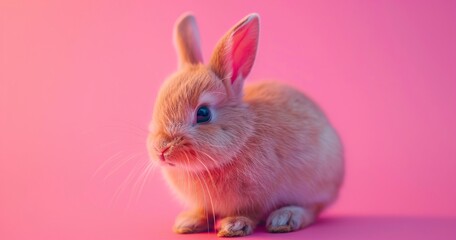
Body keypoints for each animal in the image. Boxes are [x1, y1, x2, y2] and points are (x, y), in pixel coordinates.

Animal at [148, 12, 344, 236]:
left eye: (203, 113)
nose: (161, 150)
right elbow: (204, 211)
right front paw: (188, 222)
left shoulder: (258, 197)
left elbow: (249, 213)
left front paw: (234, 225)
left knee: (313, 209)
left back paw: (285, 218)